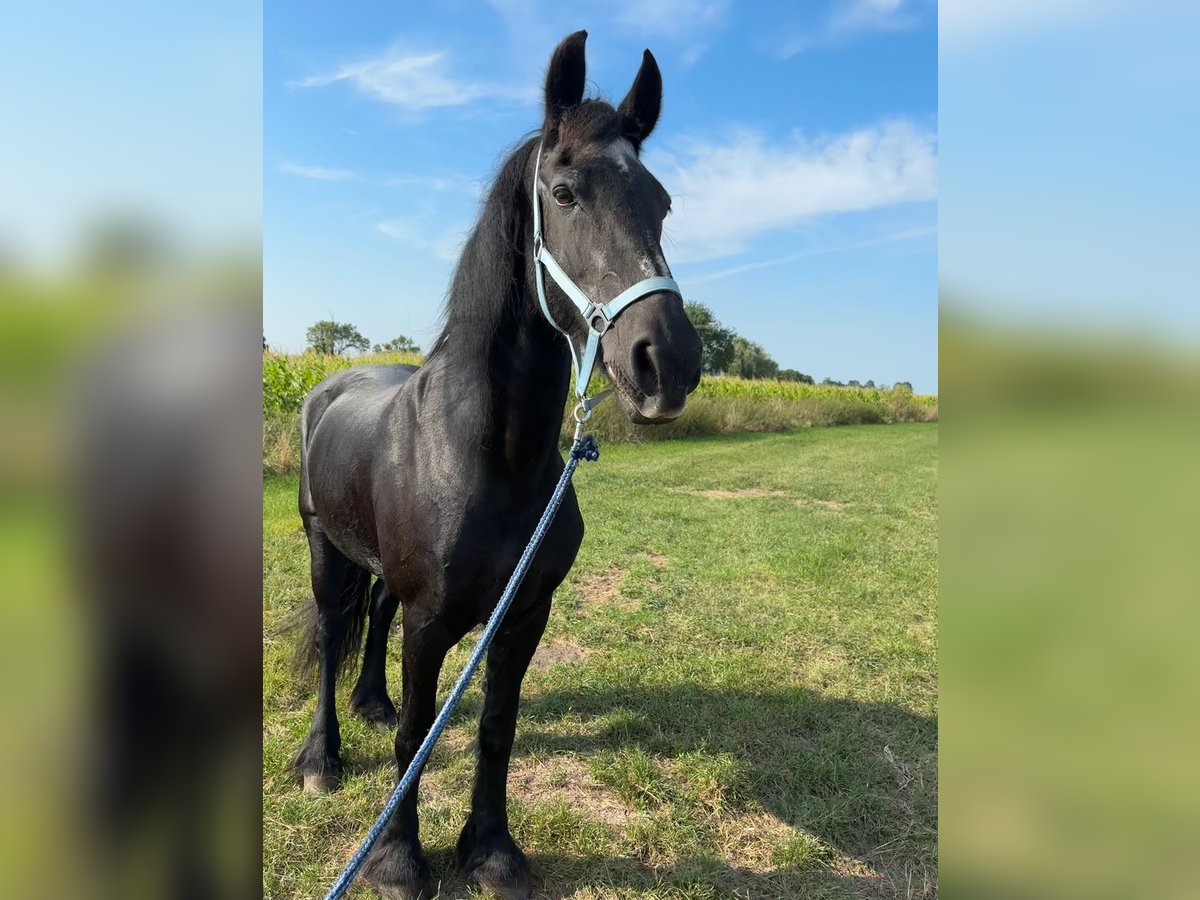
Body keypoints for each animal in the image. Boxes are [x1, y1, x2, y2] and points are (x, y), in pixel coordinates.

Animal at [294, 31, 700, 897]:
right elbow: (418, 737)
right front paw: (397, 861)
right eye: (565, 191)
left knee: (372, 619)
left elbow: (495, 727)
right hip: (322, 550)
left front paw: (490, 851)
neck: (485, 458)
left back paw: (370, 702)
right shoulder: (430, 620)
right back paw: (322, 758)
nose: (668, 362)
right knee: (335, 631)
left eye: (661, 203)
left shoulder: (525, 614)